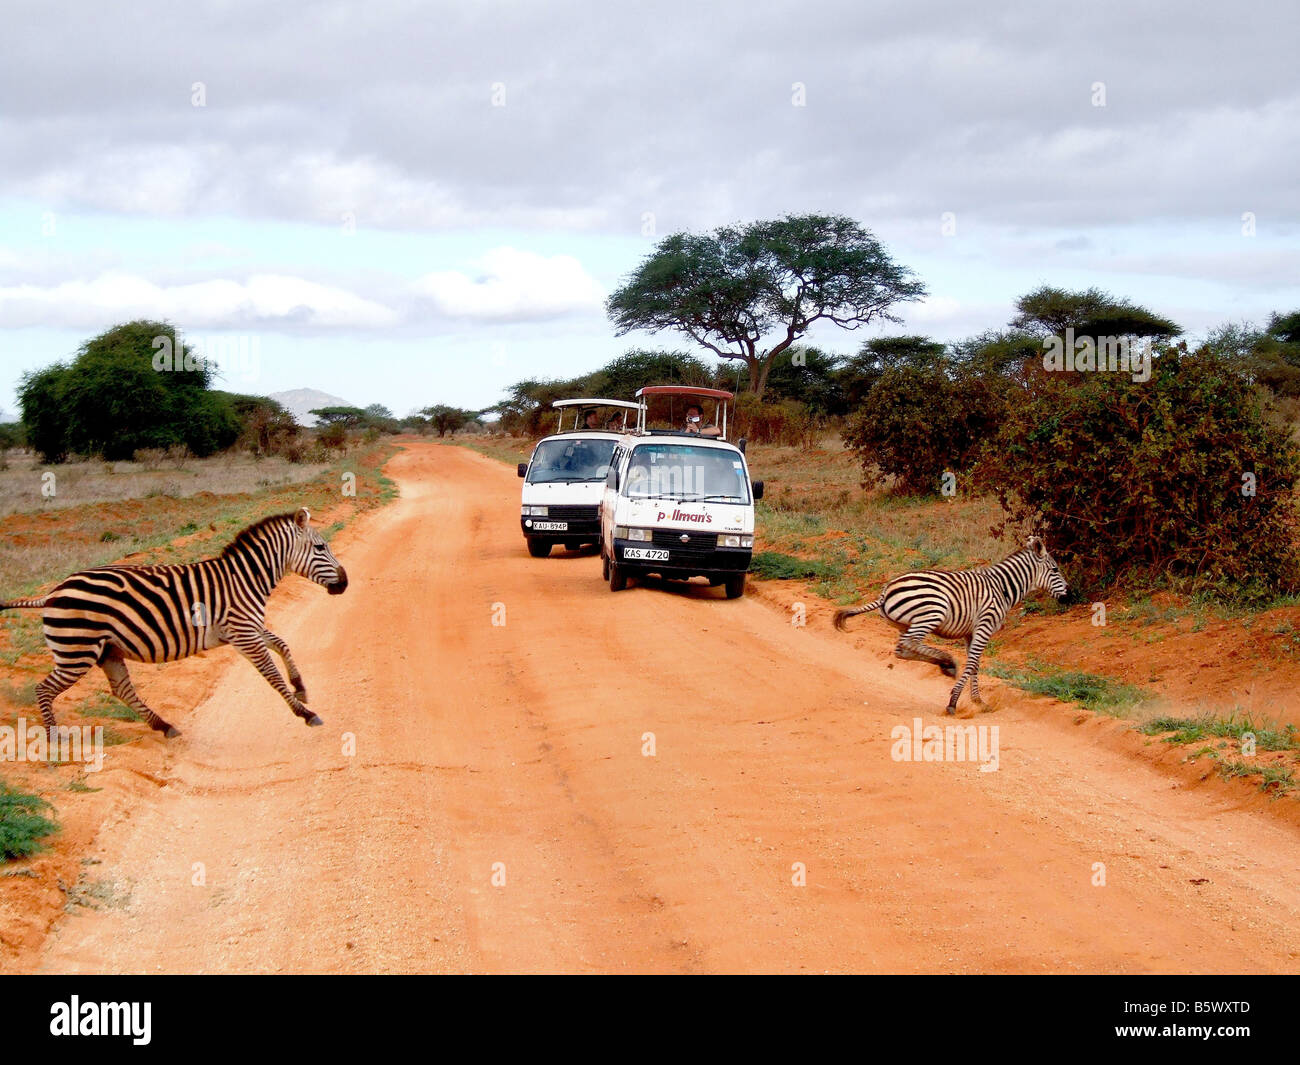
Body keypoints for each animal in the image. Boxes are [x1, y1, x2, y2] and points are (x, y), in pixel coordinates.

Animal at [0, 507, 348, 743]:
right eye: (320, 548)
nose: (344, 584)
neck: (244, 578)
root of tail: (51, 593)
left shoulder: (245, 628)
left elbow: (282, 644)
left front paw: (300, 687)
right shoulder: (243, 632)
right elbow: (272, 675)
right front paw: (305, 713)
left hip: (107, 650)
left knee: (121, 689)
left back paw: (164, 726)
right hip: (77, 651)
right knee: (44, 688)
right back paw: (55, 740)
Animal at [832, 533, 1066, 717]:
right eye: (1055, 570)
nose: (1069, 595)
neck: (1003, 588)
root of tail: (885, 591)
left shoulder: (971, 632)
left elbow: (976, 664)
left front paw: (979, 701)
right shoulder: (985, 625)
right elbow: (971, 664)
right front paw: (954, 701)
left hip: (907, 623)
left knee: (903, 649)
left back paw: (945, 664)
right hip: (932, 612)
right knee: (910, 645)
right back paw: (947, 661)